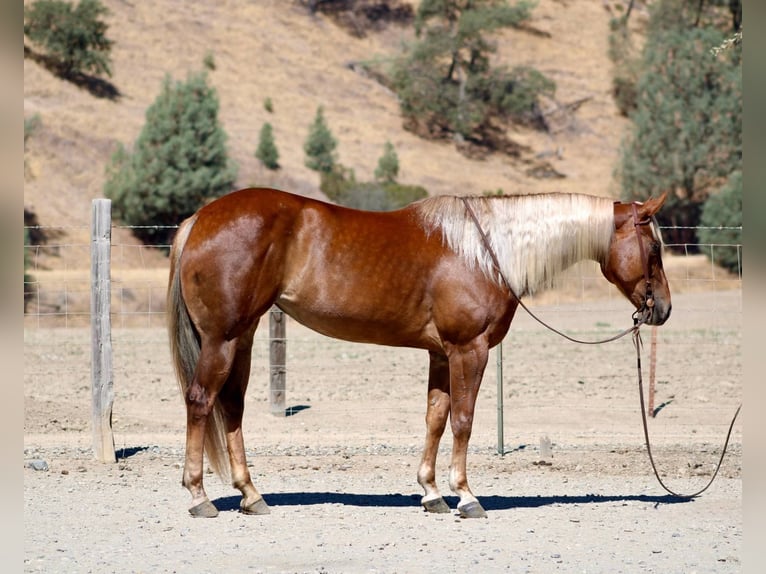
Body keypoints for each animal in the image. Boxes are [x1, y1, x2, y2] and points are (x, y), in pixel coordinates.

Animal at [167, 187, 671, 519]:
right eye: (654, 248)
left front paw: (431, 493)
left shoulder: (442, 355)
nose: (662, 309)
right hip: (223, 339)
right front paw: (465, 495)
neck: (485, 252)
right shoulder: (470, 350)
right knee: (200, 402)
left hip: (243, 337)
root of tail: (200, 219)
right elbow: (464, 420)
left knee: (231, 407)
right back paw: (198, 496)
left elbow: (436, 418)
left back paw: (252, 495)